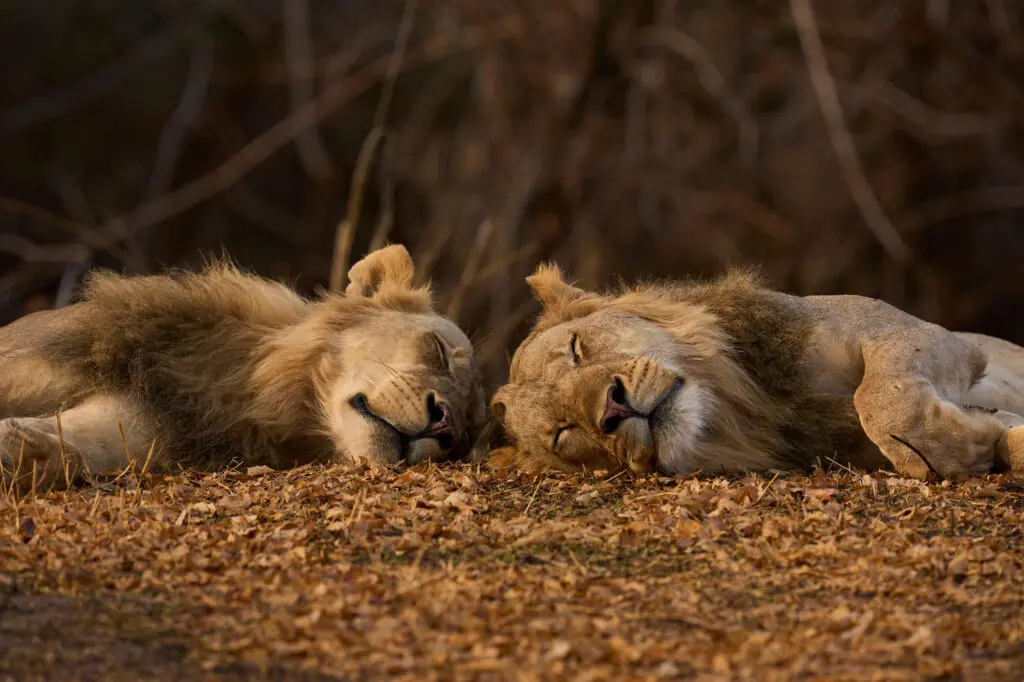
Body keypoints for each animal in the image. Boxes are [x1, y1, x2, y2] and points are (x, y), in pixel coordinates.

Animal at [0, 244, 487, 494]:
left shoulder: (145, 430)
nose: (444, 426)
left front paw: (20, 450)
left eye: (464, 439)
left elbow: (78, 446)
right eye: (438, 351)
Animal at [480, 264, 1024, 481]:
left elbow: (879, 396)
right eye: (563, 433)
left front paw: (957, 443)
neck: (740, 404)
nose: (613, 408)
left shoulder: (914, 331)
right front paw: (981, 442)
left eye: (577, 348)